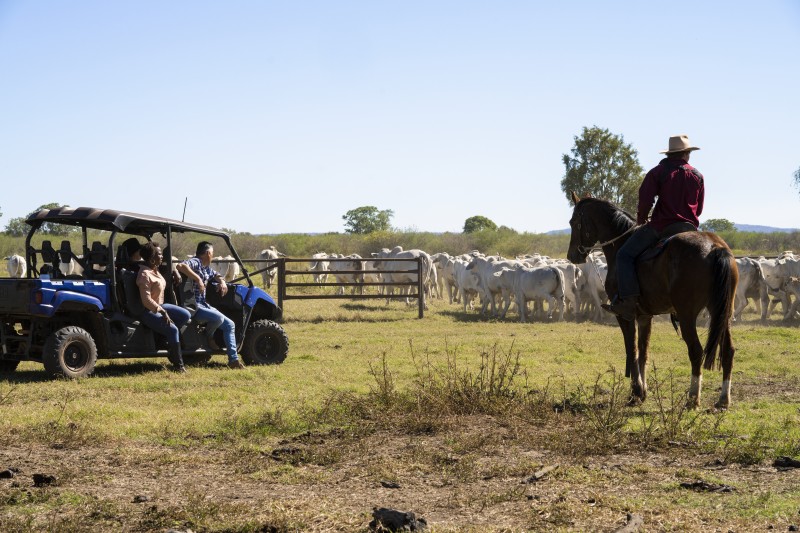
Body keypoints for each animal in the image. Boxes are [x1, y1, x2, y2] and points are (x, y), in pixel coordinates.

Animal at [568, 193, 736, 410]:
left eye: (573, 222)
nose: (572, 255)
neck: (620, 243)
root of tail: (715, 247)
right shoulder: (644, 316)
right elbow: (643, 352)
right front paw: (643, 392)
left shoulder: (625, 315)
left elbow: (631, 350)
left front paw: (635, 393)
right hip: (722, 312)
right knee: (728, 351)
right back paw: (723, 399)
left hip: (687, 315)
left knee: (696, 351)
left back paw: (692, 398)